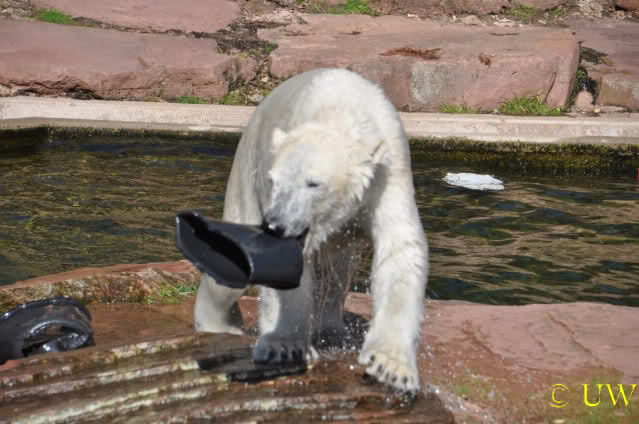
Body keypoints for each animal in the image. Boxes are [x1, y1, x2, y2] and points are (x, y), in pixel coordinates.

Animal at [193, 68, 429, 393]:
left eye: (314, 183)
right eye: (274, 181)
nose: (274, 224)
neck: (340, 113)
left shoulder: (389, 172)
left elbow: (400, 250)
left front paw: (391, 367)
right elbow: (284, 267)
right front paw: (284, 346)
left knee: (337, 270)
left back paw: (330, 329)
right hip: (245, 173)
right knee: (229, 275)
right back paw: (217, 325)